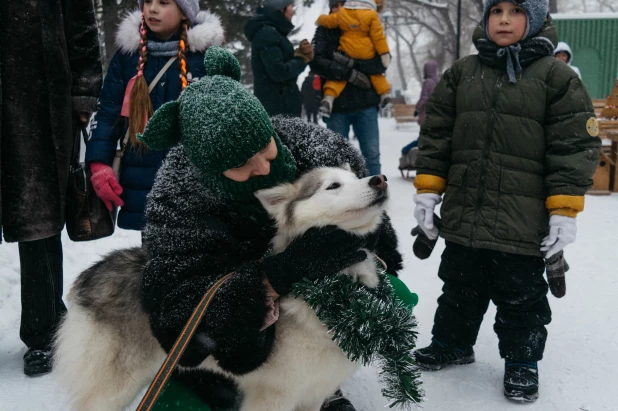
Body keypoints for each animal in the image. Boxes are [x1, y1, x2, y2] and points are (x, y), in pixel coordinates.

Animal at [54, 166, 390, 410]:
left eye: (356, 177)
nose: (380, 180)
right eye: (332, 186)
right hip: (113, 390)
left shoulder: (312, 395)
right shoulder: (273, 398)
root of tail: (92, 272)